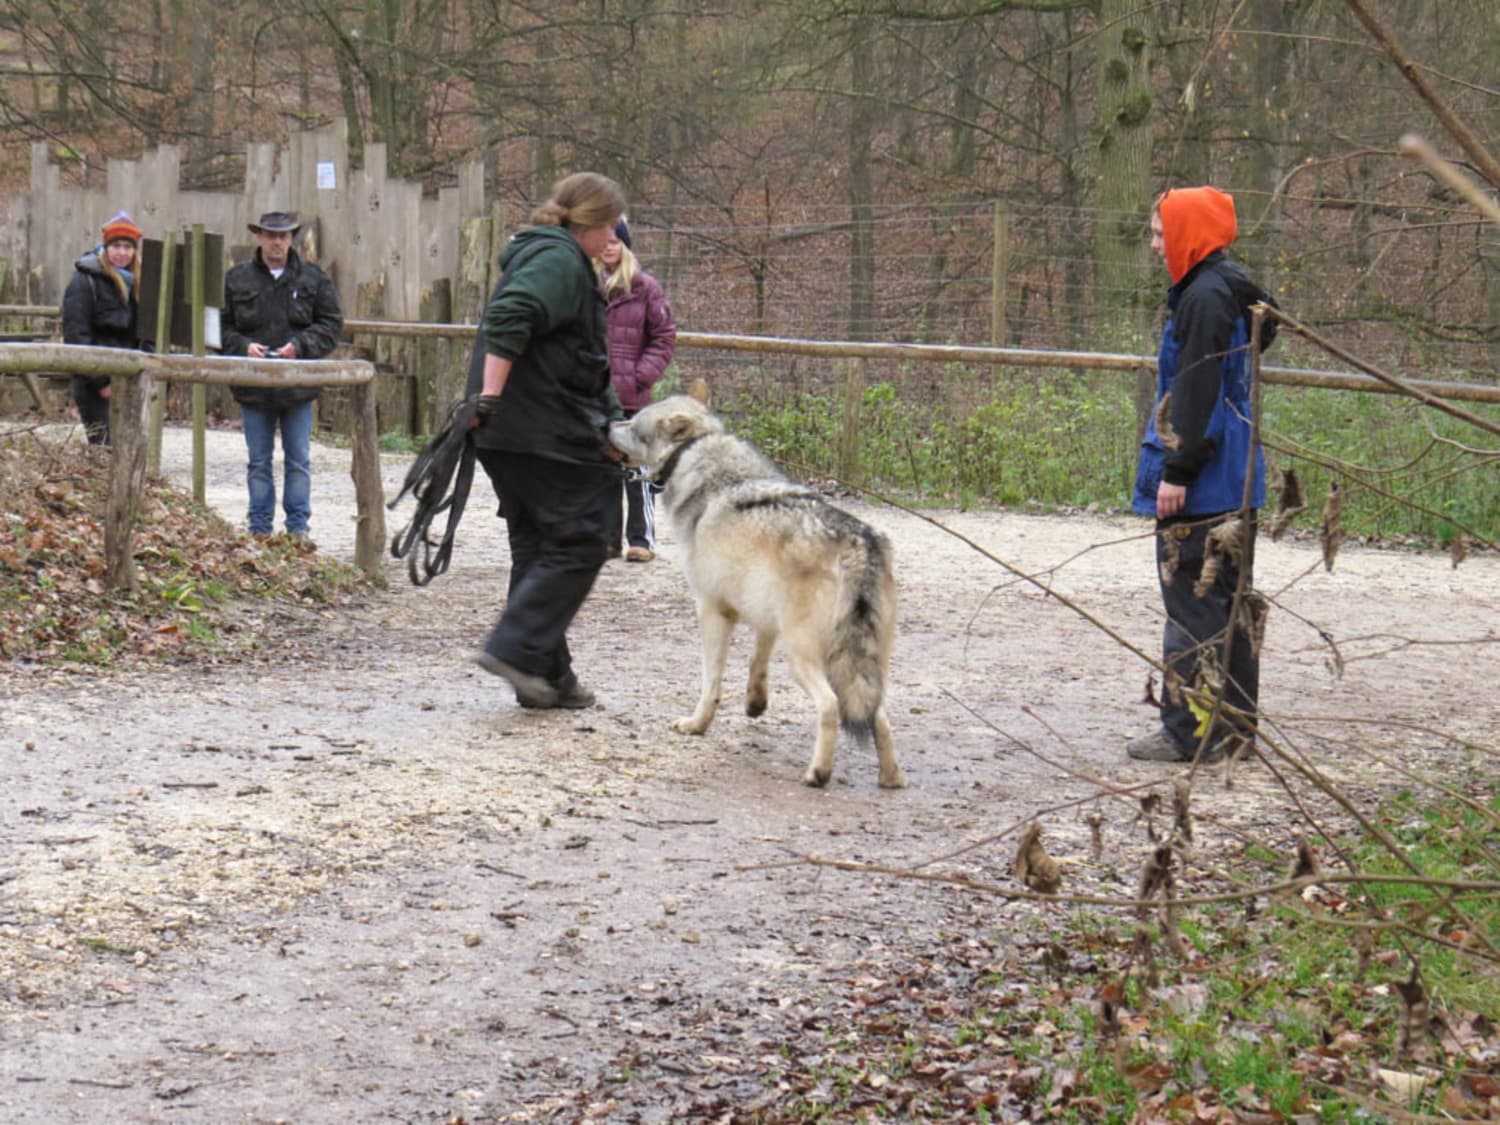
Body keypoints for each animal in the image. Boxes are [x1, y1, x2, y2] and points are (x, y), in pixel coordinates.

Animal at [606, 393, 906, 786]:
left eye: (632, 423)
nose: (606, 423)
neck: (698, 458)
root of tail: (858, 543)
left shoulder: (710, 609)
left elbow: (711, 681)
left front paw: (696, 725)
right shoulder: (764, 617)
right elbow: (755, 662)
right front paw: (755, 703)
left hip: (805, 658)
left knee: (830, 706)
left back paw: (818, 773)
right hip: (861, 668)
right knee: (879, 716)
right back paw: (891, 778)